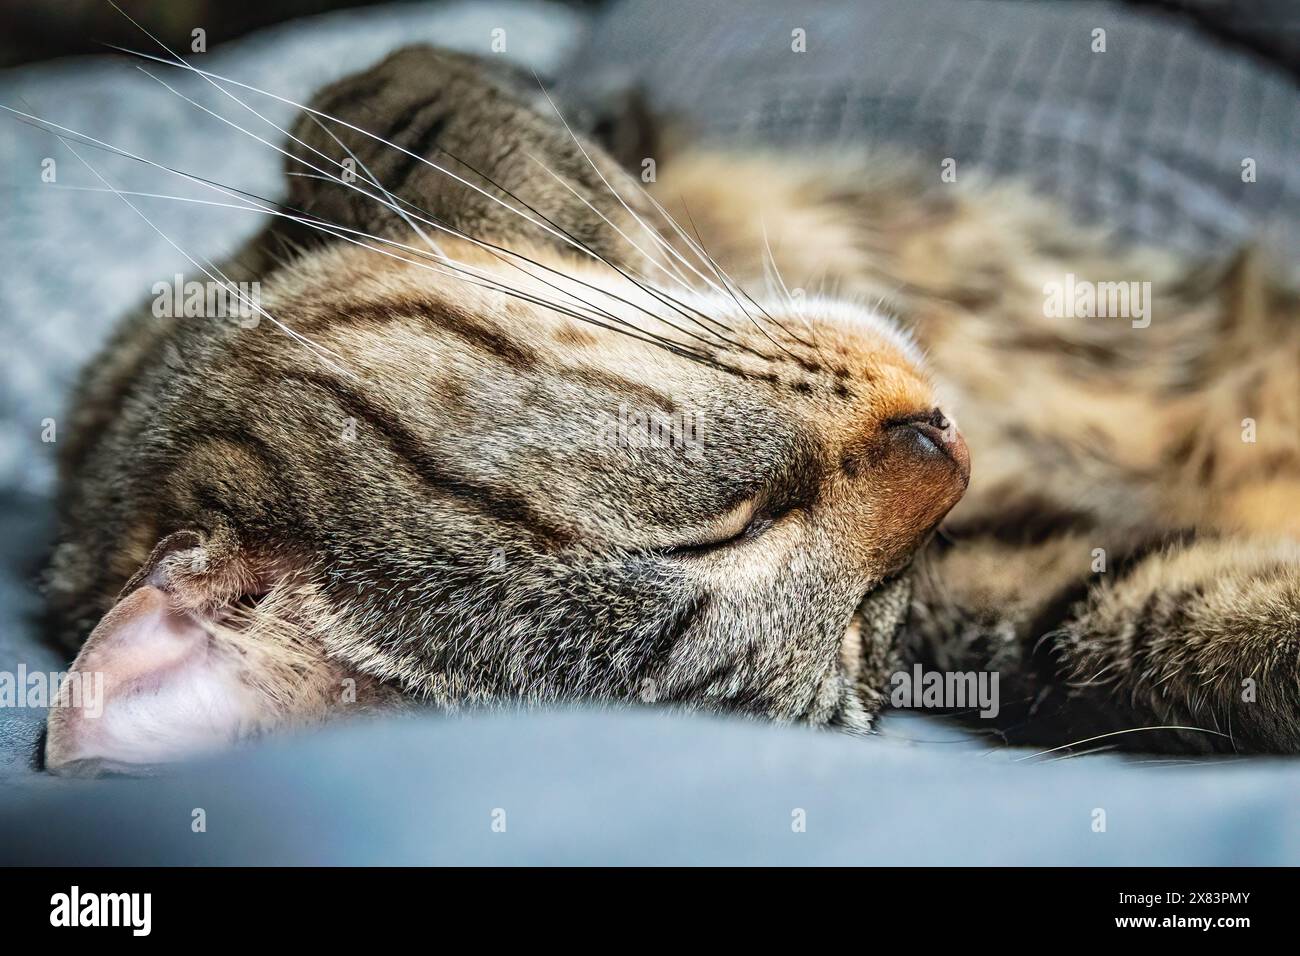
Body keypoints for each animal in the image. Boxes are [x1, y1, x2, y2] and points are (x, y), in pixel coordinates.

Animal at [43, 48, 1300, 775]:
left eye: (718, 528)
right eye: (865, 622)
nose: (947, 449)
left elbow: (400, 101)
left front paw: (577, 221)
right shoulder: (1032, 596)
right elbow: (1168, 619)